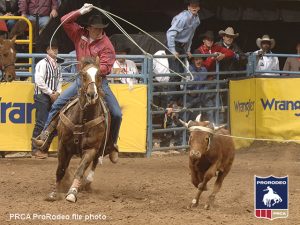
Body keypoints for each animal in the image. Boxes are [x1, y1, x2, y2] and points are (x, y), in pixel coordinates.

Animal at [47, 57, 110, 203]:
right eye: (83, 74)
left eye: (99, 75)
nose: (92, 95)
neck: (83, 119)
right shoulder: (63, 145)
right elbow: (60, 169)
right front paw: (55, 193)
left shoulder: (91, 149)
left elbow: (80, 171)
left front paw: (72, 192)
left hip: (99, 148)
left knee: (94, 163)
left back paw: (87, 182)